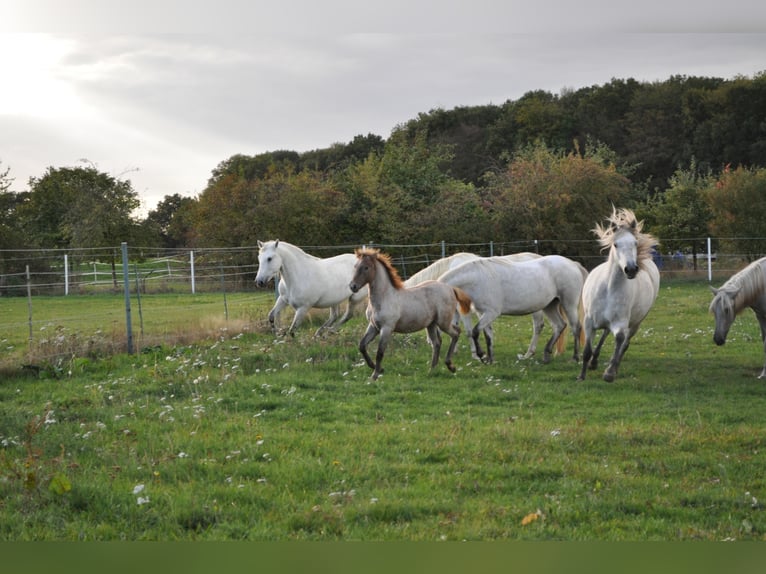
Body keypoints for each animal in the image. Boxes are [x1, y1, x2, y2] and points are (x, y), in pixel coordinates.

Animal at [349, 247, 473, 380]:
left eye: (366, 267)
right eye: (355, 266)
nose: (353, 286)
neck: (384, 297)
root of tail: (450, 288)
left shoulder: (386, 328)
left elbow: (380, 352)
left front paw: (375, 375)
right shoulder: (373, 326)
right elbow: (362, 346)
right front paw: (378, 369)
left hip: (443, 322)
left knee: (455, 333)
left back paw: (450, 366)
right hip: (432, 324)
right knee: (437, 343)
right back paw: (432, 370)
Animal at [405, 252, 552, 360]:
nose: (430, 343)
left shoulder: (463, 309)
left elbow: (469, 331)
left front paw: (475, 354)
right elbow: (457, 326)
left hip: (535, 307)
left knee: (538, 326)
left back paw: (529, 353)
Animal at [437, 255, 588, 364]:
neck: (477, 279)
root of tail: (572, 263)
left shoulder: (491, 312)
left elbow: (475, 332)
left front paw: (481, 355)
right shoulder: (483, 313)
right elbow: (488, 335)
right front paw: (490, 359)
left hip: (569, 304)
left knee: (576, 327)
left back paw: (575, 357)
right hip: (549, 306)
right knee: (559, 325)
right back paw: (546, 355)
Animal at [578, 207, 660, 382]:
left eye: (635, 243)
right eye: (616, 244)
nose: (631, 269)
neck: (609, 289)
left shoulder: (621, 323)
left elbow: (620, 340)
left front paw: (609, 373)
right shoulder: (589, 321)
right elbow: (587, 350)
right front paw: (581, 376)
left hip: (636, 322)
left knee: (624, 344)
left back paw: (613, 368)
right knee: (604, 333)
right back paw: (594, 362)